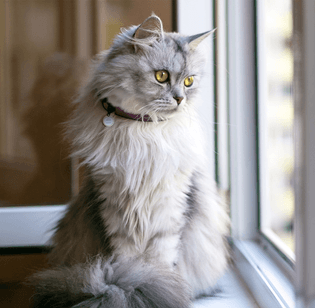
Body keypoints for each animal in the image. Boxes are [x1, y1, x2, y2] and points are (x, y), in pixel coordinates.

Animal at [30, 14, 231, 308]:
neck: (142, 129)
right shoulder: (114, 204)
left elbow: (160, 260)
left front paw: (159, 286)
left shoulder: (169, 207)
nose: (180, 99)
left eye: (189, 81)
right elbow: (128, 261)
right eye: (161, 76)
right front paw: (138, 283)